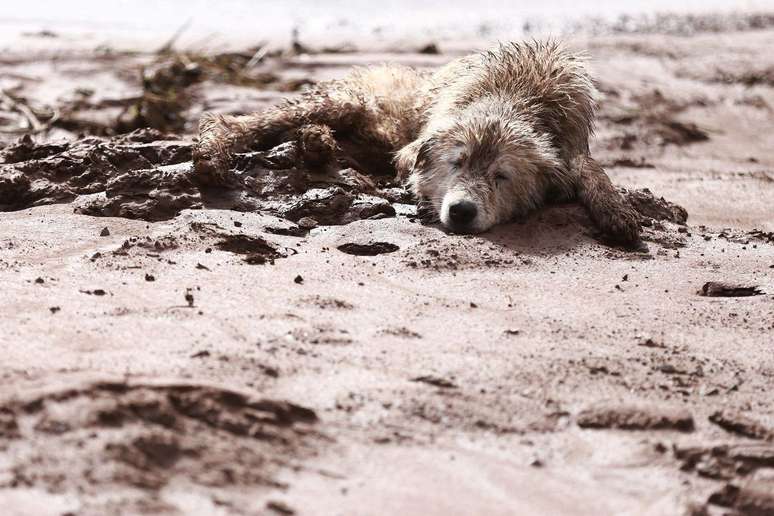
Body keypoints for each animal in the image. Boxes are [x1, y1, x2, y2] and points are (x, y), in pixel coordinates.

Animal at [192, 40, 644, 244]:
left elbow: (590, 169)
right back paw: (215, 150)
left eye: (502, 177)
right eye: (456, 163)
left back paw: (317, 143)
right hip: (349, 102)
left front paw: (615, 210)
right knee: (243, 122)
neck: (514, 97)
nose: (461, 211)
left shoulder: (570, 144)